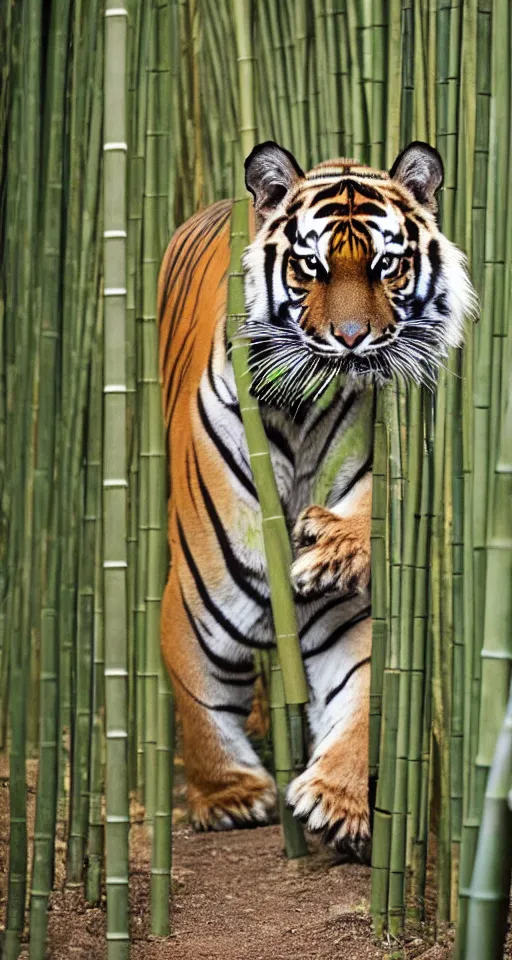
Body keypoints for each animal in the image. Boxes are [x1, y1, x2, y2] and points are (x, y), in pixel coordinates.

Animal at [158, 141, 478, 864]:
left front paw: (337, 802)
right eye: (311, 266)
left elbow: (360, 701)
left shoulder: (346, 622)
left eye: (388, 264)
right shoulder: (190, 609)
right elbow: (198, 703)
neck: (297, 415)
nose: (354, 337)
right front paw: (229, 797)